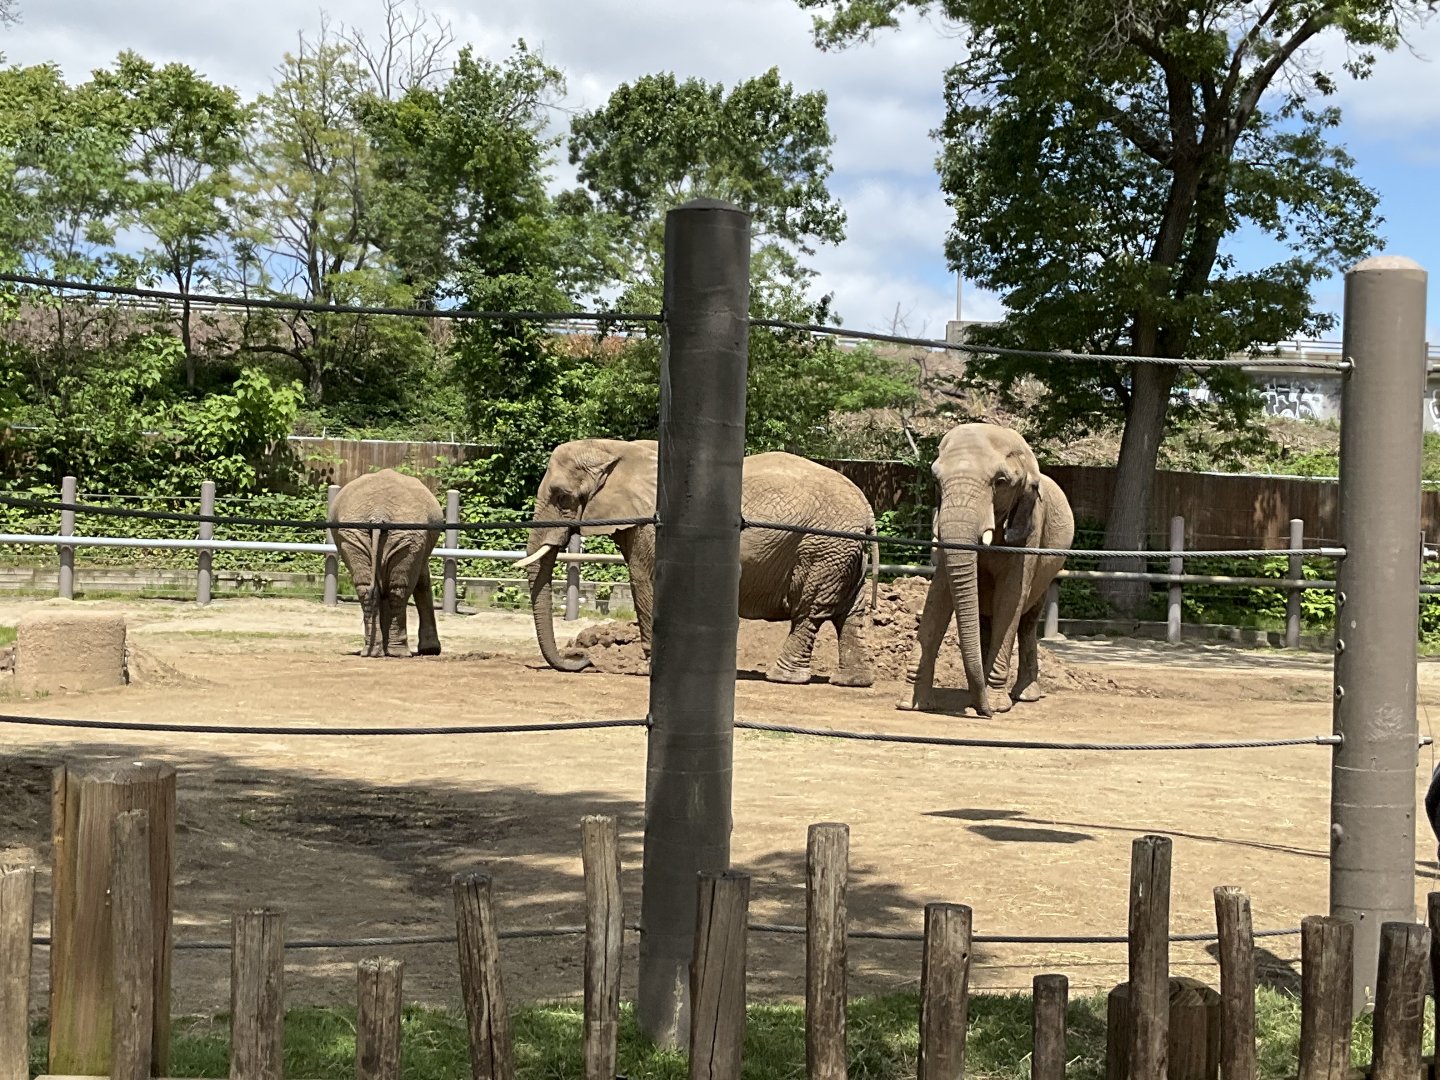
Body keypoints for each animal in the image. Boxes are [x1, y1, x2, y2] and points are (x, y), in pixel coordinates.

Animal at [329, 468, 444, 658]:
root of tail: (378, 512)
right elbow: (422, 582)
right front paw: (431, 650)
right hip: (407, 534)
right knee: (399, 588)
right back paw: (399, 653)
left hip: (354, 534)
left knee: (367, 587)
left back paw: (373, 652)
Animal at [517, 437, 881, 686]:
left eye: (562, 497)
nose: (583, 659)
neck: (617, 448)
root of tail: (867, 511)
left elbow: (643, 580)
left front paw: (647, 671)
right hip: (845, 552)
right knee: (850, 613)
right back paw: (852, 681)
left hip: (823, 548)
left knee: (809, 611)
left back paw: (783, 677)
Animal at [901, 423, 1074, 717]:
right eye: (936, 481)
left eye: (1000, 482)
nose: (986, 714)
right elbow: (939, 596)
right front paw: (911, 705)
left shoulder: (1030, 526)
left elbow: (1010, 598)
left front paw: (996, 705)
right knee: (985, 618)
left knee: (1028, 620)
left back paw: (1023, 695)